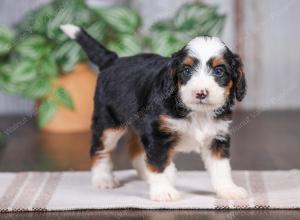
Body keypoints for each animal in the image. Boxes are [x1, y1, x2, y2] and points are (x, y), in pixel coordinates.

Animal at [60, 23, 246, 201]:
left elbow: (221, 167)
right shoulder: (158, 134)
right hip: (108, 123)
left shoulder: (217, 137)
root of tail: (113, 60)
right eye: (186, 70)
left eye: (219, 71)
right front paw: (163, 191)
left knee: (136, 149)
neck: (196, 112)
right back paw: (103, 179)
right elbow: (158, 163)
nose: (200, 93)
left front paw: (228, 190)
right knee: (100, 149)